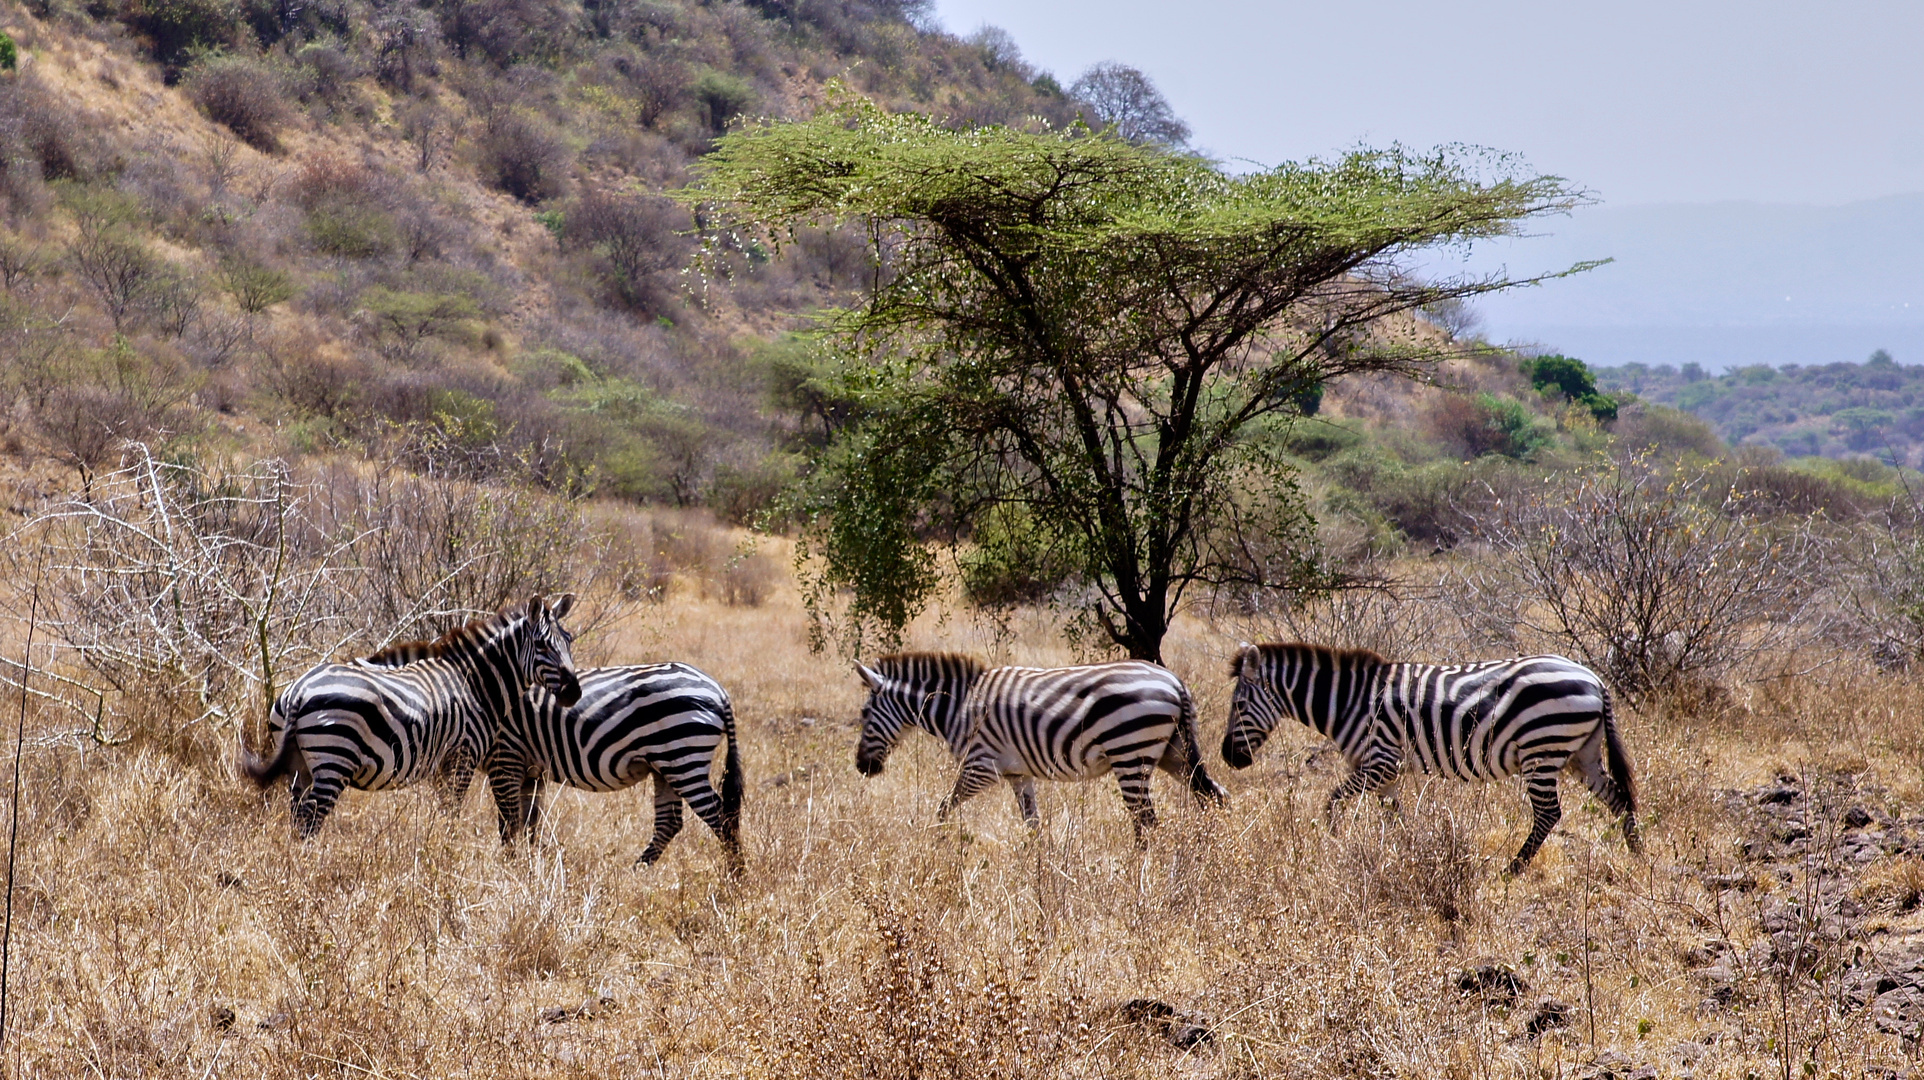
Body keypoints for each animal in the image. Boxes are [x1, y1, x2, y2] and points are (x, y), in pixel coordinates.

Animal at [237, 589, 577, 835]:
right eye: (541, 645)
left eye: (569, 641)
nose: (574, 692)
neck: (476, 682)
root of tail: (299, 690)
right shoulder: (462, 756)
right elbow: (452, 813)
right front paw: (446, 853)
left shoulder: (442, 766)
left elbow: (444, 812)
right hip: (334, 759)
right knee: (310, 819)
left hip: (300, 766)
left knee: (297, 817)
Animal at [484, 662, 746, 870]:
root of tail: (719, 691)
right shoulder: (531, 772)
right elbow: (530, 825)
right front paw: (534, 867)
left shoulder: (505, 757)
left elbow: (508, 825)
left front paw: (511, 870)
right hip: (666, 765)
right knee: (669, 821)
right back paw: (636, 872)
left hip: (683, 757)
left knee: (720, 815)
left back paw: (734, 878)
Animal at [861, 646, 1231, 843]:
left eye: (864, 715)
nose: (862, 767)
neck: (960, 709)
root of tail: (1175, 682)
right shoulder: (1017, 773)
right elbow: (1032, 823)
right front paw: (1037, 865)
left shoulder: (981, 766)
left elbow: (943, 805)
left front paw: (938, 841)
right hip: (1174, 751)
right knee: (1214, 796)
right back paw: (1209, 852)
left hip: (1130, 753)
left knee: (1147, 820)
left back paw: (1143, 873)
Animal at [1215, 639, 1639, 877]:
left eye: (1238, 706)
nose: (1229, 758)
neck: (1348, 702)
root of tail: (1596, 680)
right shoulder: (1385, 773)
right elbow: (1396, 818)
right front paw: (1408, 852)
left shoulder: (1380, 761)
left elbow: (1331, 801)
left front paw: (1333, 843)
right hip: (1580, 755)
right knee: (1619, 798)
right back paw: (1638, 856)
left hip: (1542, 749)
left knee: (1549, 813)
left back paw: (1512, 870)